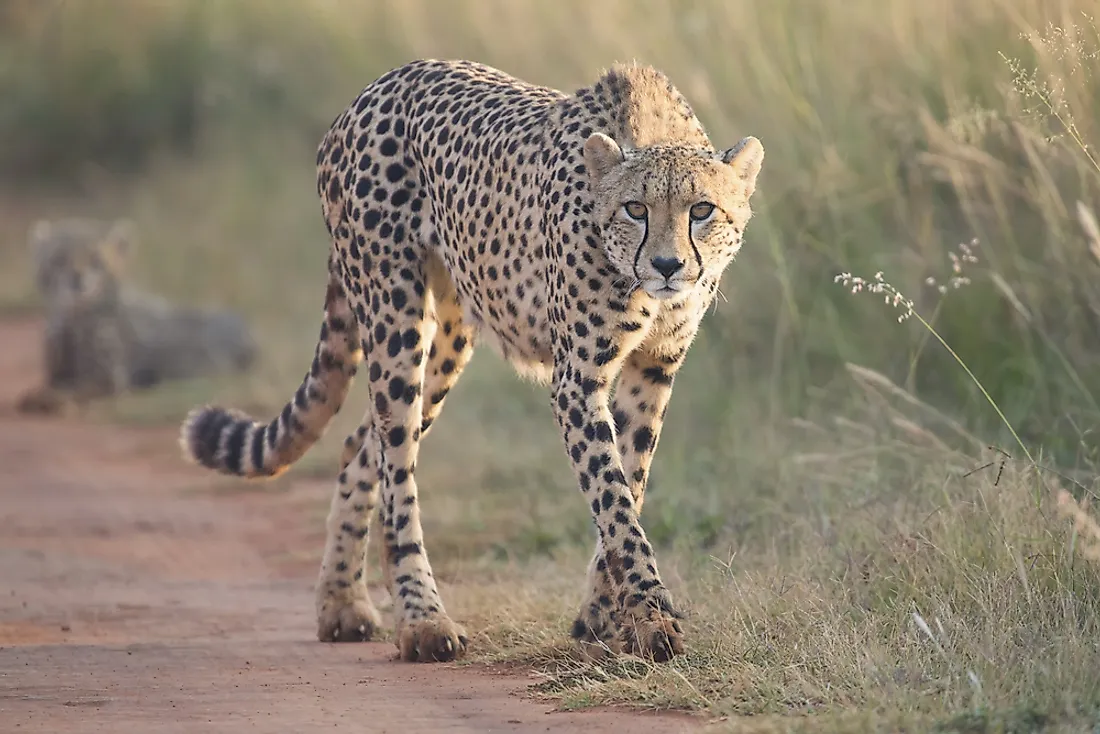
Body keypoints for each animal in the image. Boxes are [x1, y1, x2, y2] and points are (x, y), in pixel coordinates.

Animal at [17, 216, 257, 413]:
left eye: (96, 260)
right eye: (59, 259)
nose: (77, 277)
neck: (75, 319)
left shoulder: (108, 380)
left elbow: (74, 389)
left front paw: (45, 399)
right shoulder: (57, 374)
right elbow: (55, 384)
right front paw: (38, 394)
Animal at [180, 58, 765, 664]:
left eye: (702, 210)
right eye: (635, 209)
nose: (668, 265)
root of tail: (379, 85)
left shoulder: (653, 371)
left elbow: (631, 484)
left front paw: (605, 617)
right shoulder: (578, 380)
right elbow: (614, 500)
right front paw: (650, 617)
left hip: (450, 335)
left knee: (361, 447)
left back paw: (342, 602)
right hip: (395, 317)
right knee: (396, 465)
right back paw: (422, 620)